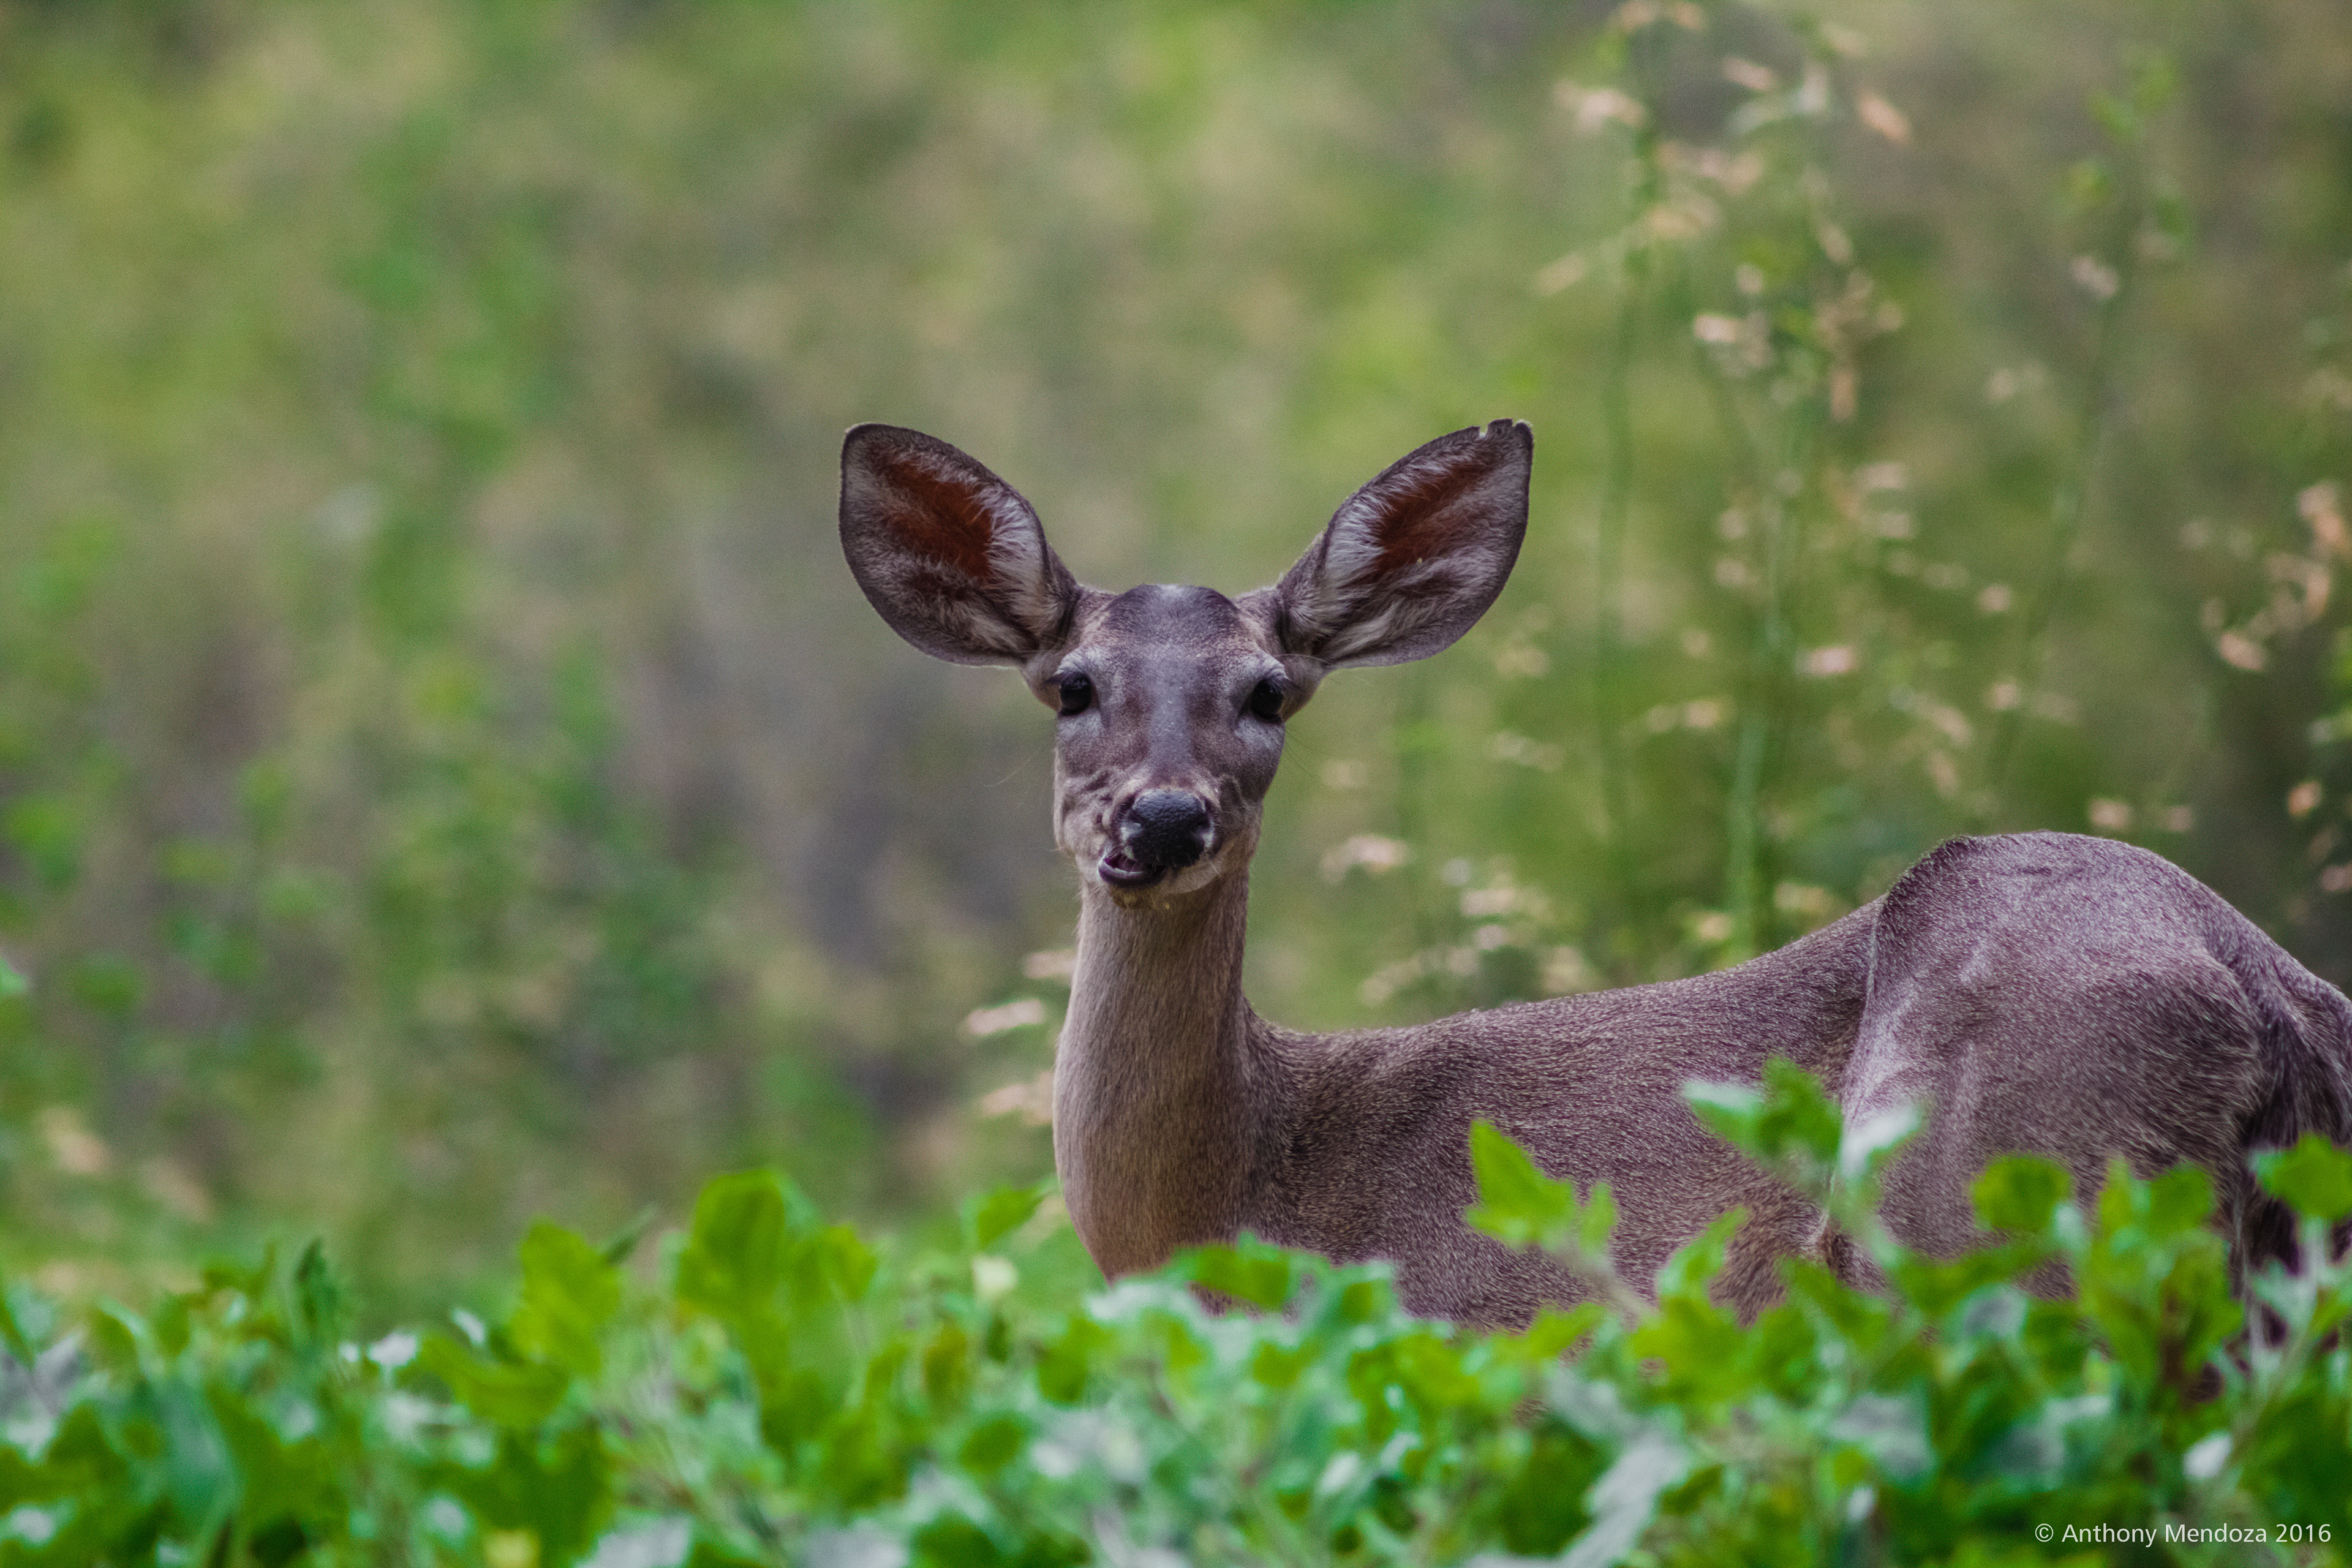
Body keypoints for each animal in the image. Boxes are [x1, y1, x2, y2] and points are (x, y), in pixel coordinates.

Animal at [838, 417, 2352, 1327]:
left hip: (2005, 1214)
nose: (1161, 819)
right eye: (1073, 683)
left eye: (1268, 691)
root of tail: (2263, 1003)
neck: (1246, 1200)